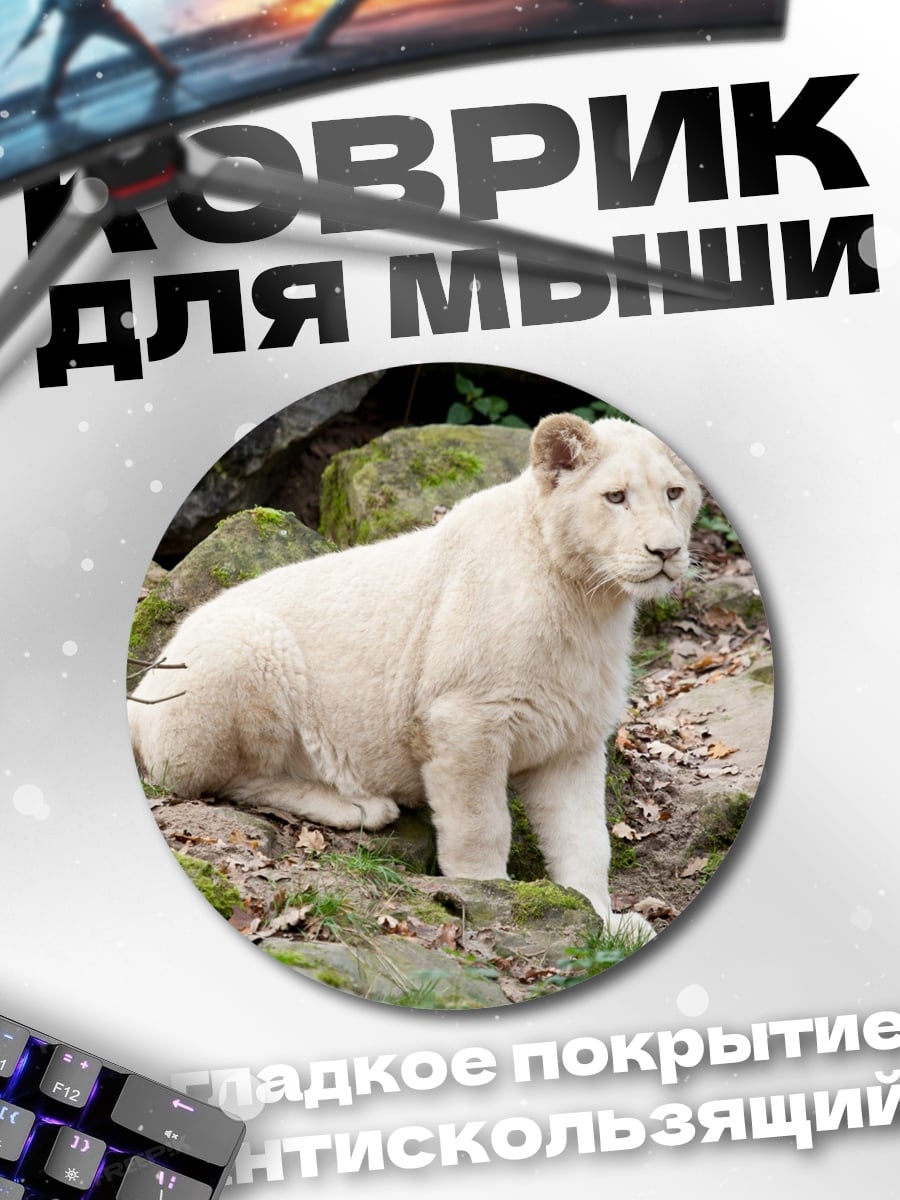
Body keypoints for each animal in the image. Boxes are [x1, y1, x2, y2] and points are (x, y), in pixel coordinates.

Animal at [129, 413, 702, 937]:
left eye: (674, 492)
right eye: (615, 497)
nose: (666, 552)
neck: (586, 600)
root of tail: (141, 692)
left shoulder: (573, 732)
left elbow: (585, 837)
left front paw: (608, 922)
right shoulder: (463, 717)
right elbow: (480, 822)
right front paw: (495, 898)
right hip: (243, 646)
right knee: (214, 779)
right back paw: (359, 804)